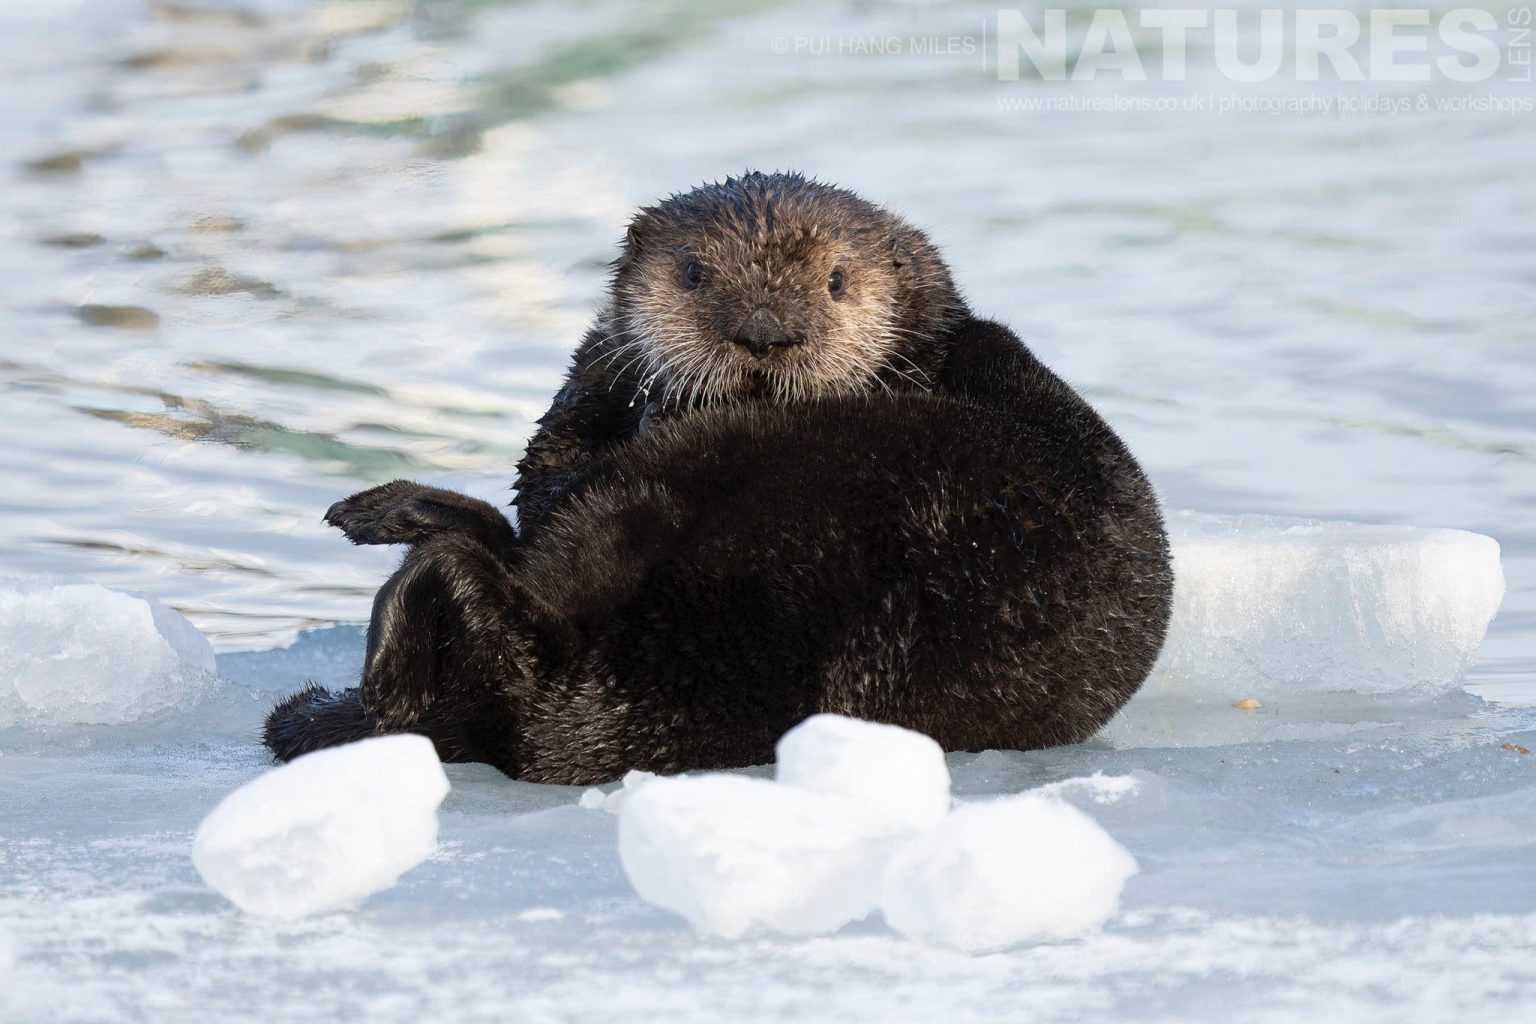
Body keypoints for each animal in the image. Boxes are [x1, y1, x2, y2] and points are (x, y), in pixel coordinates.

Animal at [264, 172, 1173, 785]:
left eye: (837, 282)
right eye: (695, 273)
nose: (764, 331)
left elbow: (546, 487)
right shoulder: (587, 393)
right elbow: (547, 465)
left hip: (679, 504)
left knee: (491, 571)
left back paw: (394, 564)